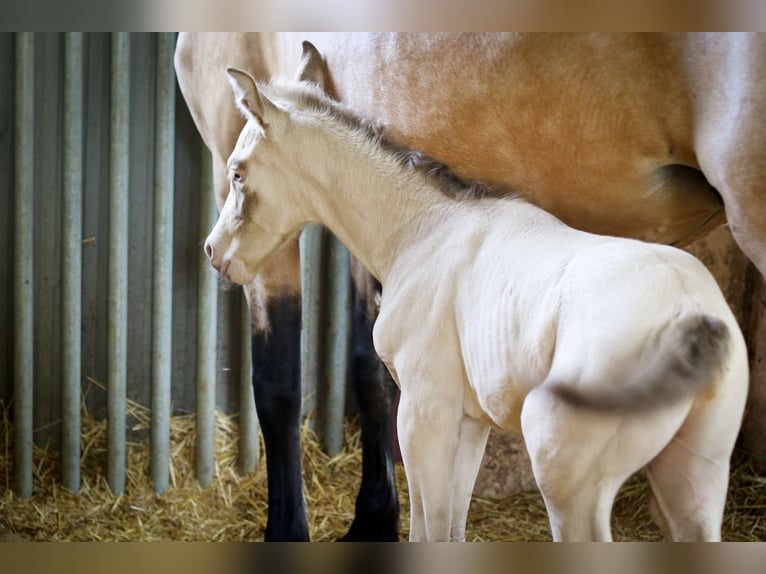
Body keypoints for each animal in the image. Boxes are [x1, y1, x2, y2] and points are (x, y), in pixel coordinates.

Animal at [176, 33, 766, 544]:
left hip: (566, 472)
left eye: (237, 172)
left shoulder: (423, 413)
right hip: (694, 472)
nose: (214, 253)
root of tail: (694, 319)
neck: (424, 227)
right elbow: (452, 528)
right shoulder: (469, 423)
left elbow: (427, 526)